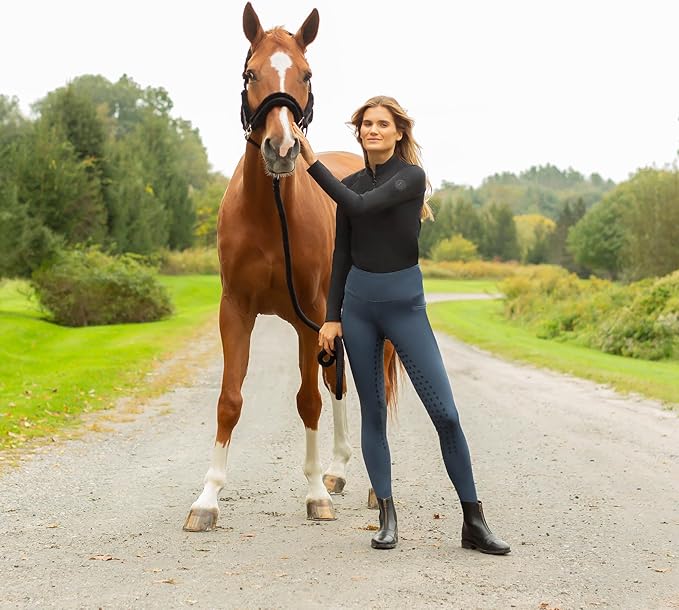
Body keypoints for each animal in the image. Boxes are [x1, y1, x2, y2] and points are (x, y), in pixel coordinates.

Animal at [183, 2, 399, 532]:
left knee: (374, 391)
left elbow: (308, 402)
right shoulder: (237, 310)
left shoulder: (309, 319)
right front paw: (207, 499)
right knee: (340, 381)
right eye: (250, 73)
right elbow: (230, 400)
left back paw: (366, 487)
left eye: (306, 74)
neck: (271, 214)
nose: (281, 149)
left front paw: (314, 493)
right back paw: (339, 471)